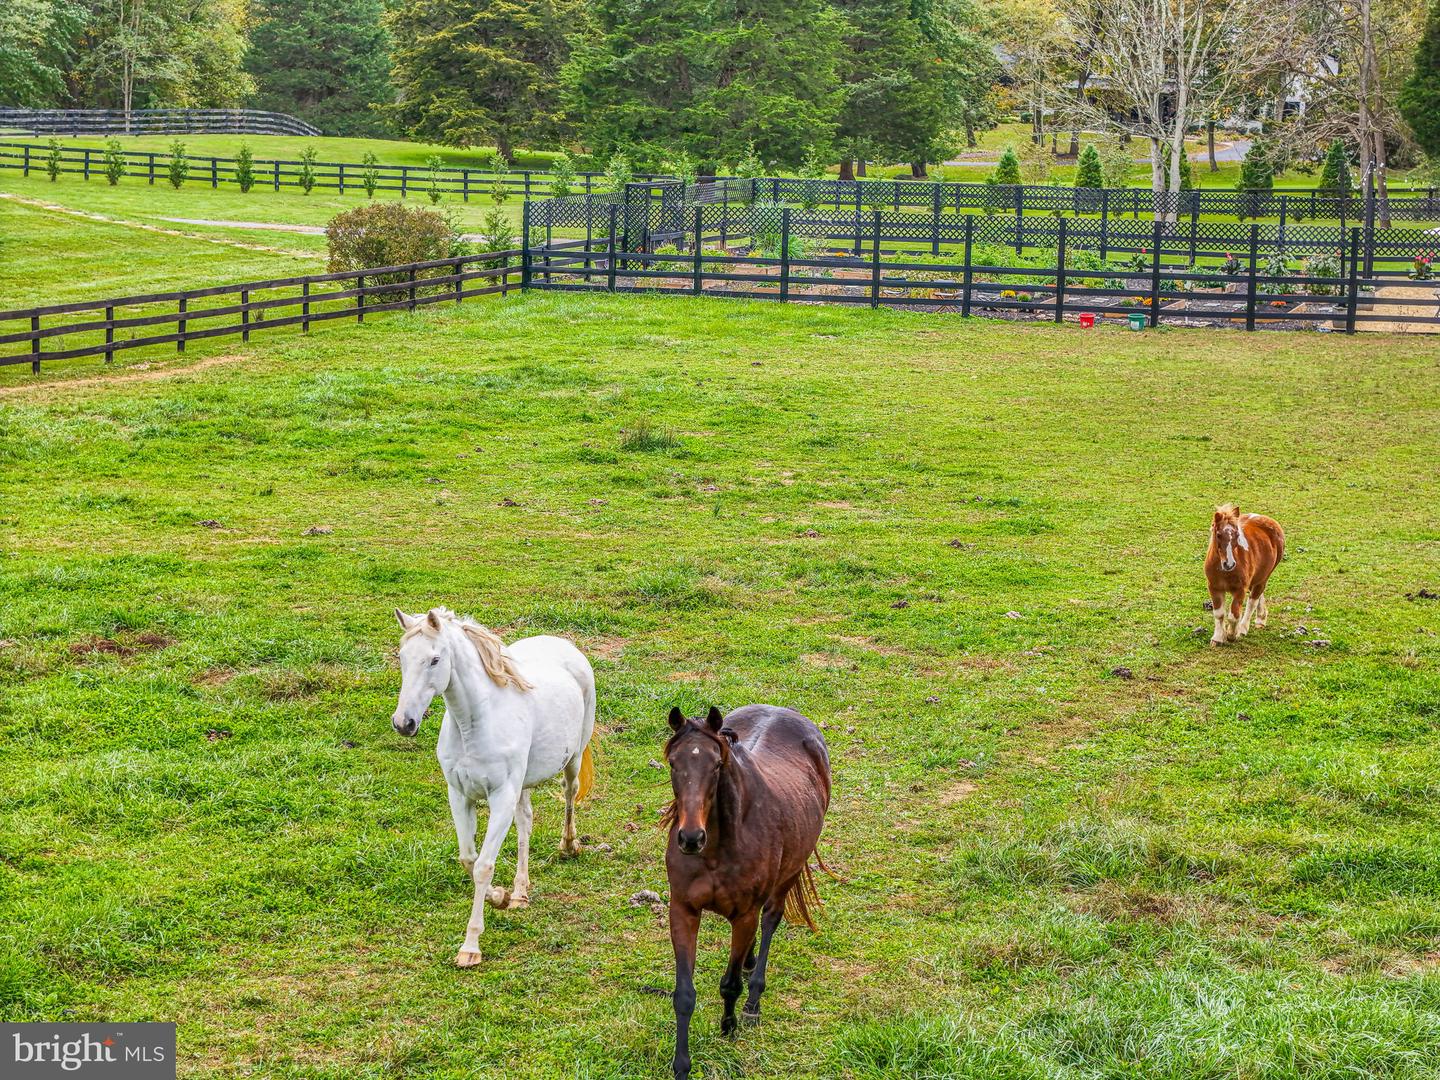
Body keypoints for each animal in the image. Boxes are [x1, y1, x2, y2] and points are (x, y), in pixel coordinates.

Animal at [388, 610, 596, 973]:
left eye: (435, 659)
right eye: (403, 657)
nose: (404, 723)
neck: (473, 725)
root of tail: (564, 645)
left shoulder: (500, 798)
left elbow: (484, 865)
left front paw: (470, 947)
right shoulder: (460, 796)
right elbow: (468, 859)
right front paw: (500, 897)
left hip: (572, 758)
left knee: (570, 793)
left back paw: (569, 846)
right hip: (521, 786)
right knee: (525, 822)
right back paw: (520, 892)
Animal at [662, 705, 835, 1077]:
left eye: (716, 765)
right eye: (673, 762)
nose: (691, 838)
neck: (717, 849)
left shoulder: (743, 916)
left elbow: (730, 984)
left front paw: (729, 1026)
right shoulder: (683, 911)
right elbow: (684, 995)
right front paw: (681, 1064)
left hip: (789, 874)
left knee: (770, 920)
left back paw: (753, 1001)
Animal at [1203, 506, 1284, 648]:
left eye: (1237, 535)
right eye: (1218, 535)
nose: (1229, 564)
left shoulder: (1240, 589)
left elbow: (1234, 615)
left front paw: (1231, 635)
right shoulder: (1214, 588)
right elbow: (1219, 614)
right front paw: (1217, 638)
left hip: (1263, 577)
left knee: (1253, 601)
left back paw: (1243, 628)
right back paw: (1261, 618)